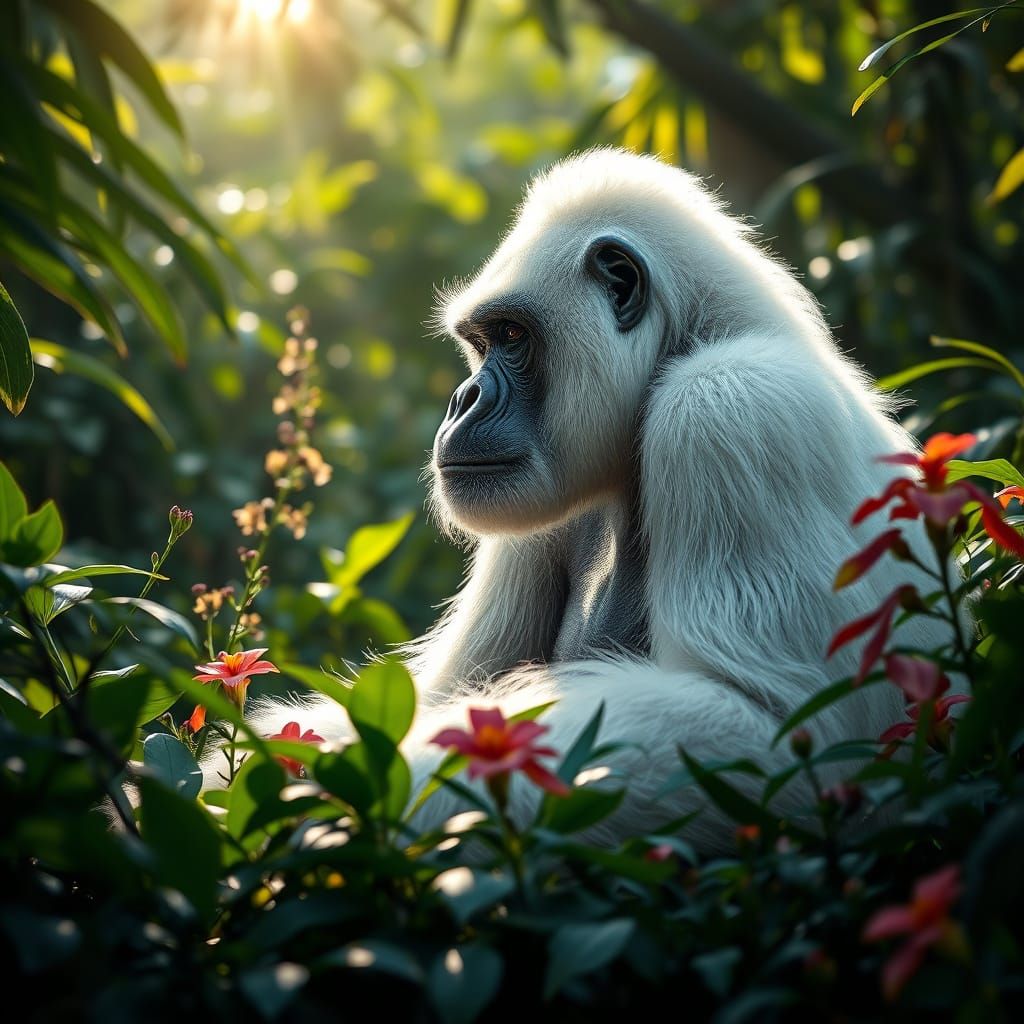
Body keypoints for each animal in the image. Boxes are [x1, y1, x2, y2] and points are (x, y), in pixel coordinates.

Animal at [238, 148, 950, 849]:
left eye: (513, 337)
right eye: (482, 342)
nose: (463, 399)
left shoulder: (730, 409)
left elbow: (770, 732)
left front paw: (332, 808)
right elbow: (432, 694)